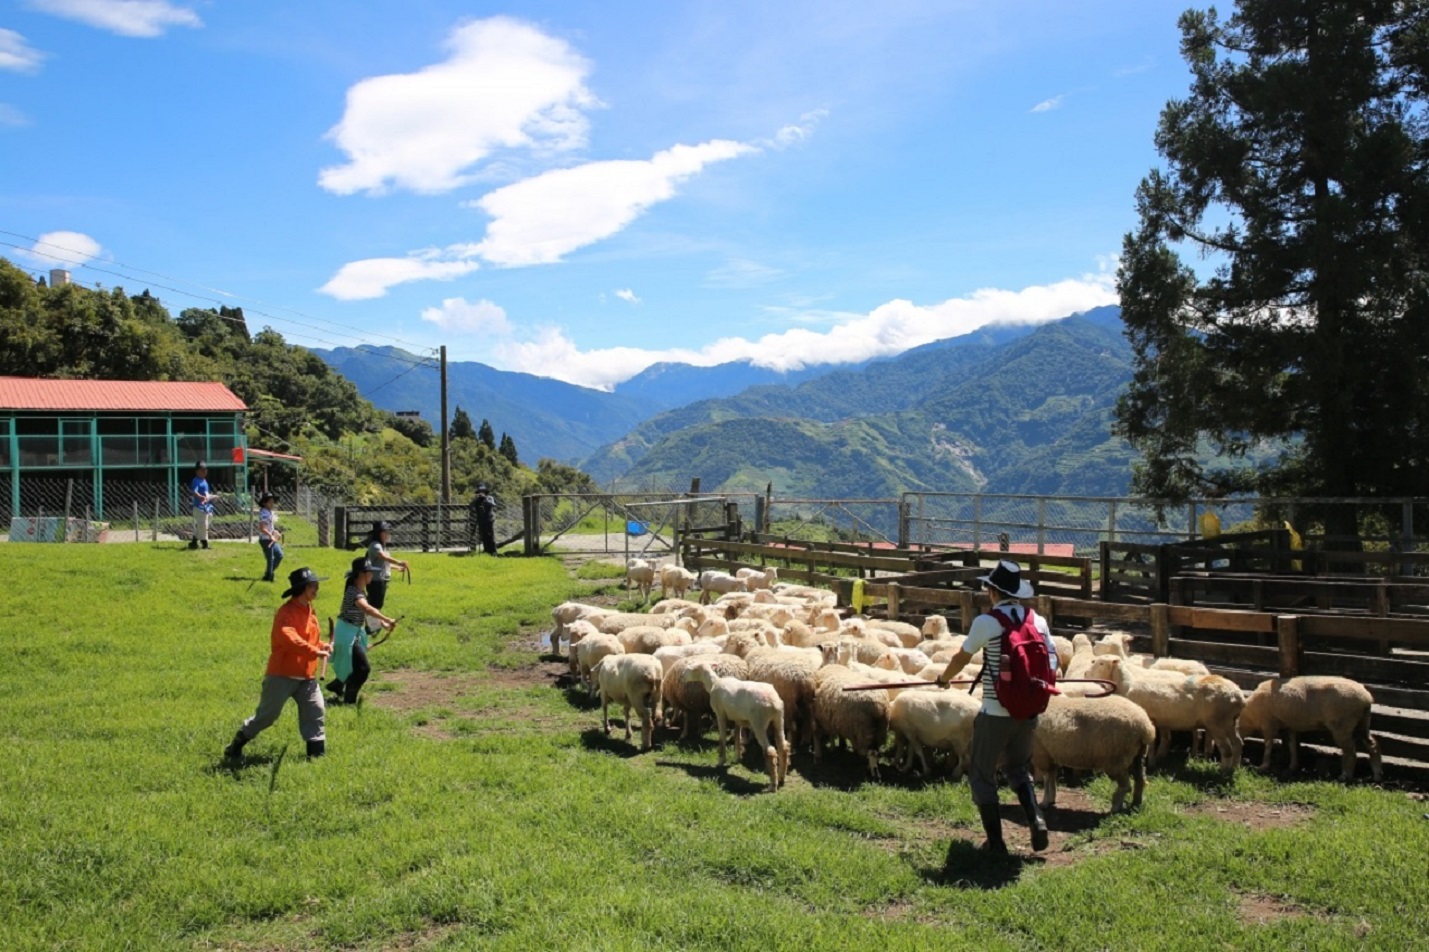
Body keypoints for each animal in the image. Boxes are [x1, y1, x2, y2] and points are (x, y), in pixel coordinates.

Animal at [681, 660, 790, 791]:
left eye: (689, 669)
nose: (681, 677)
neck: (714, 683)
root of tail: (773, 702)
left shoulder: (720, 713)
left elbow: (722, 738)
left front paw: (721, 761)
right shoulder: (738, 719)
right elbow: (737, 738)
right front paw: (737, 757)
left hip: (758, 722)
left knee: (770, 751)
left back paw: (773, 785)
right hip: (778, 720)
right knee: (783, 747)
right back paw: (782, 778)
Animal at [1086, 656, 1245, 776]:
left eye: (1101, 663)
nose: (1086, 675)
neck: (1126, 685)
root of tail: (1239, 696)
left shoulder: (1147, 719)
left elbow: (1149, 743)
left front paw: (1147, 763)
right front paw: (1152, 762)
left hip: (1218, 723)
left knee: (1227, 749)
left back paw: (1223, 772)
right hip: (1231, 722)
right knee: (1238, 743)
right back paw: (1234, 768)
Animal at [1239, 676, 1382, 782]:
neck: (1248, 717)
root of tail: (1367, 698)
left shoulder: (1268, 723)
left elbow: (1268, 746)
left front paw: (1264, 766)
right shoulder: (1289, 725)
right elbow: (1292, 746)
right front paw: (1293, 766)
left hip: (1343, 725)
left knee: (1351, 752)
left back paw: (1345, 776)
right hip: (1361, 723)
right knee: (1373, 745)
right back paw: (1377, 775)